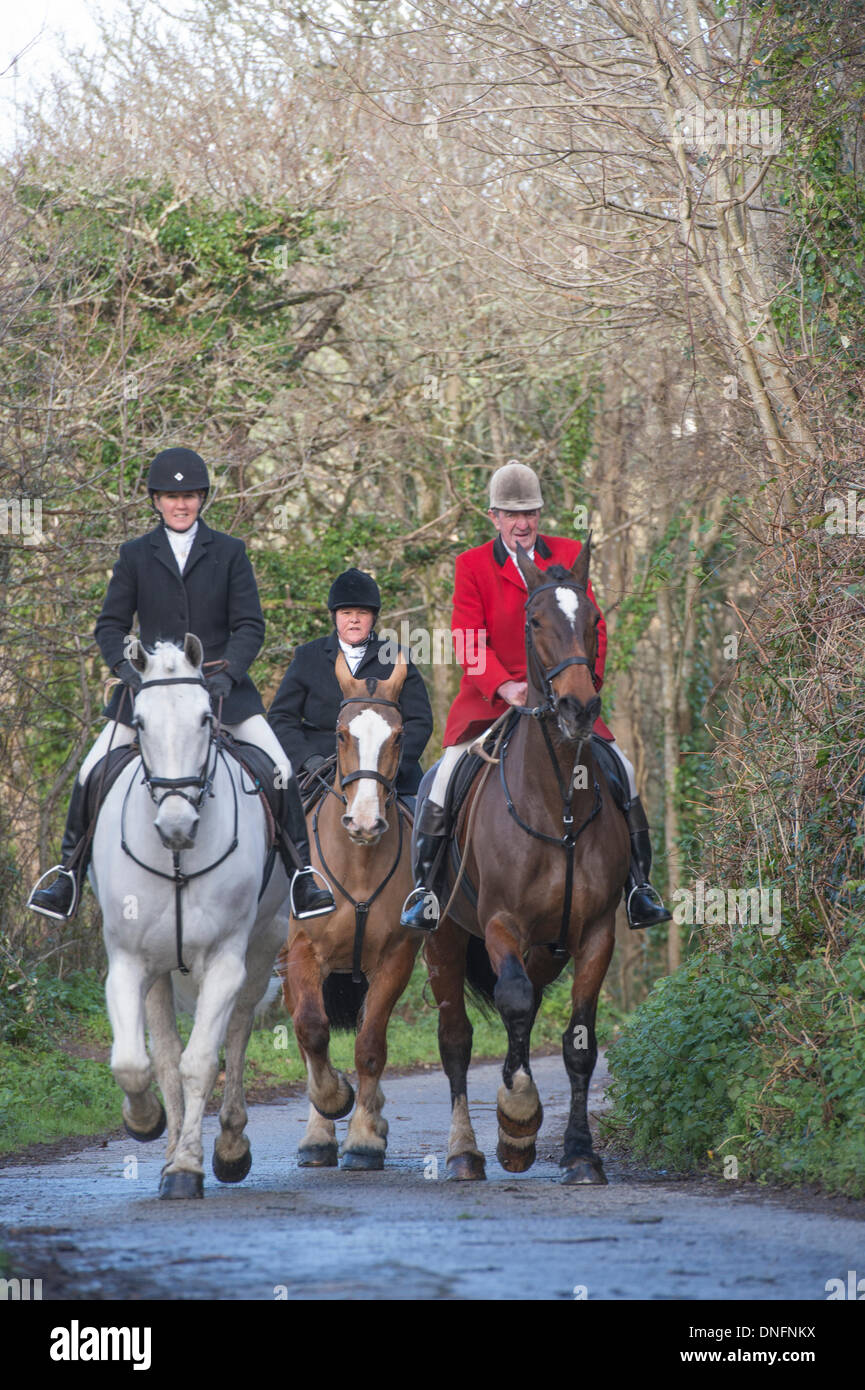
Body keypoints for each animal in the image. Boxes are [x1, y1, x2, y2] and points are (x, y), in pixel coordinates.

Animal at [90, 636, 289, 1195]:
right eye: (139, 721)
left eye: (205, 718)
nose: (177, 825)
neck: (177, 858)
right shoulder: (127, 962)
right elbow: (135, 1062)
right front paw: (146, 1123)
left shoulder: (224, 961)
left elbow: (201, 1062)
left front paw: (187, 1166)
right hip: (160, 972)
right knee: (163, 1053)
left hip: (262, 950)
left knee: (237, 1034)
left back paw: (230, 1145)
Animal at [279, 656, 422, 1167]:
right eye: (341, 734)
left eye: (398, 736)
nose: (363, 822)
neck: (358, 861)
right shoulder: (302, 953)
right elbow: (312, 1030)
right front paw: (332, 1103)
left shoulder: (396, 959)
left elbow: (371, 1045)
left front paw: (363, 1137)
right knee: (305, 1031)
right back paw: (318, 1131)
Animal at [425, 539, 634, 1184]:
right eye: (534, 621)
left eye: (593, 620)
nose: (578, 706)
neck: (558, 799)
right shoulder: (500, 923)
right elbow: (511, 1004)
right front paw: (517, 1115)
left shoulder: (595, 932)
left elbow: (579, 1041)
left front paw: (579, 1153)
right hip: (443, 938)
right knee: (458, 1037)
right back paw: (465, 1151)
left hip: (548, 948)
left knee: (529, 1005)